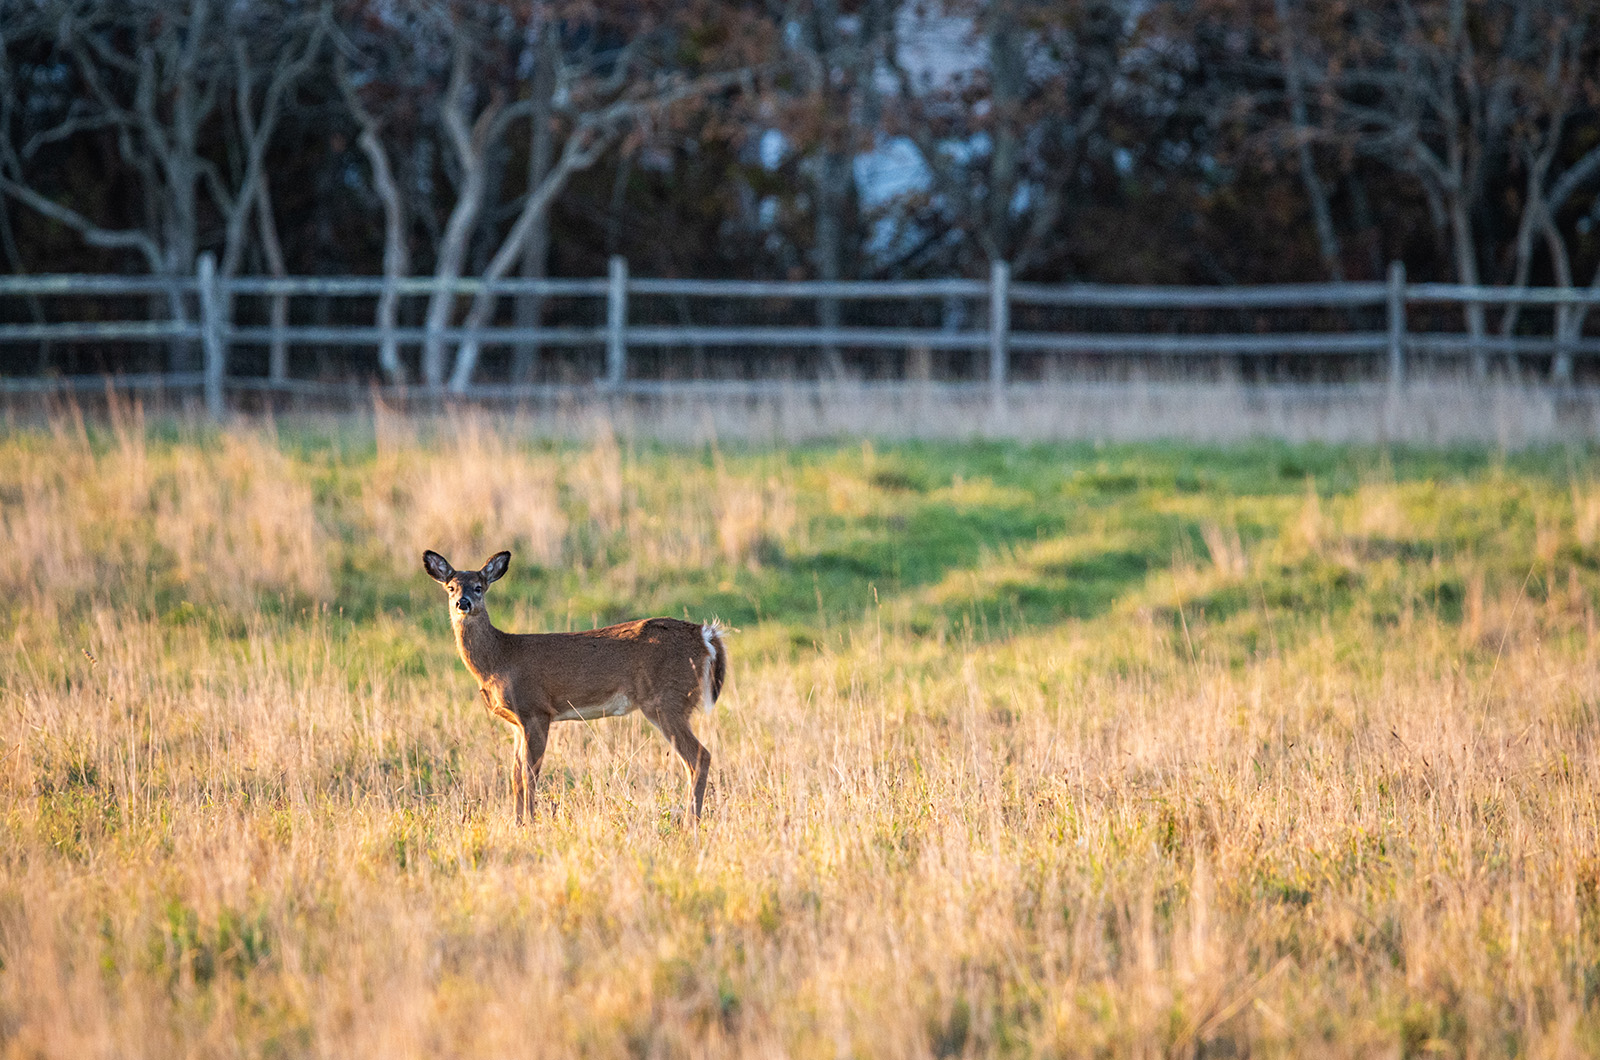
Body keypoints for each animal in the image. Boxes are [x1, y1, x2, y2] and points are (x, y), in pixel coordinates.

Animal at [423, 549, 727, 820]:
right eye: (451, 587)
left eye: (478, 587)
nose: (463, 603)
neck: (499, 659)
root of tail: (705, 635)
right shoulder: (517, 722)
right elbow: (515, 776)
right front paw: (517, 822)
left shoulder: (536, 710)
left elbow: (529, 774)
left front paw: (530, 822)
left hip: (666, 700)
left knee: (699, 756)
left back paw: (691, 820)